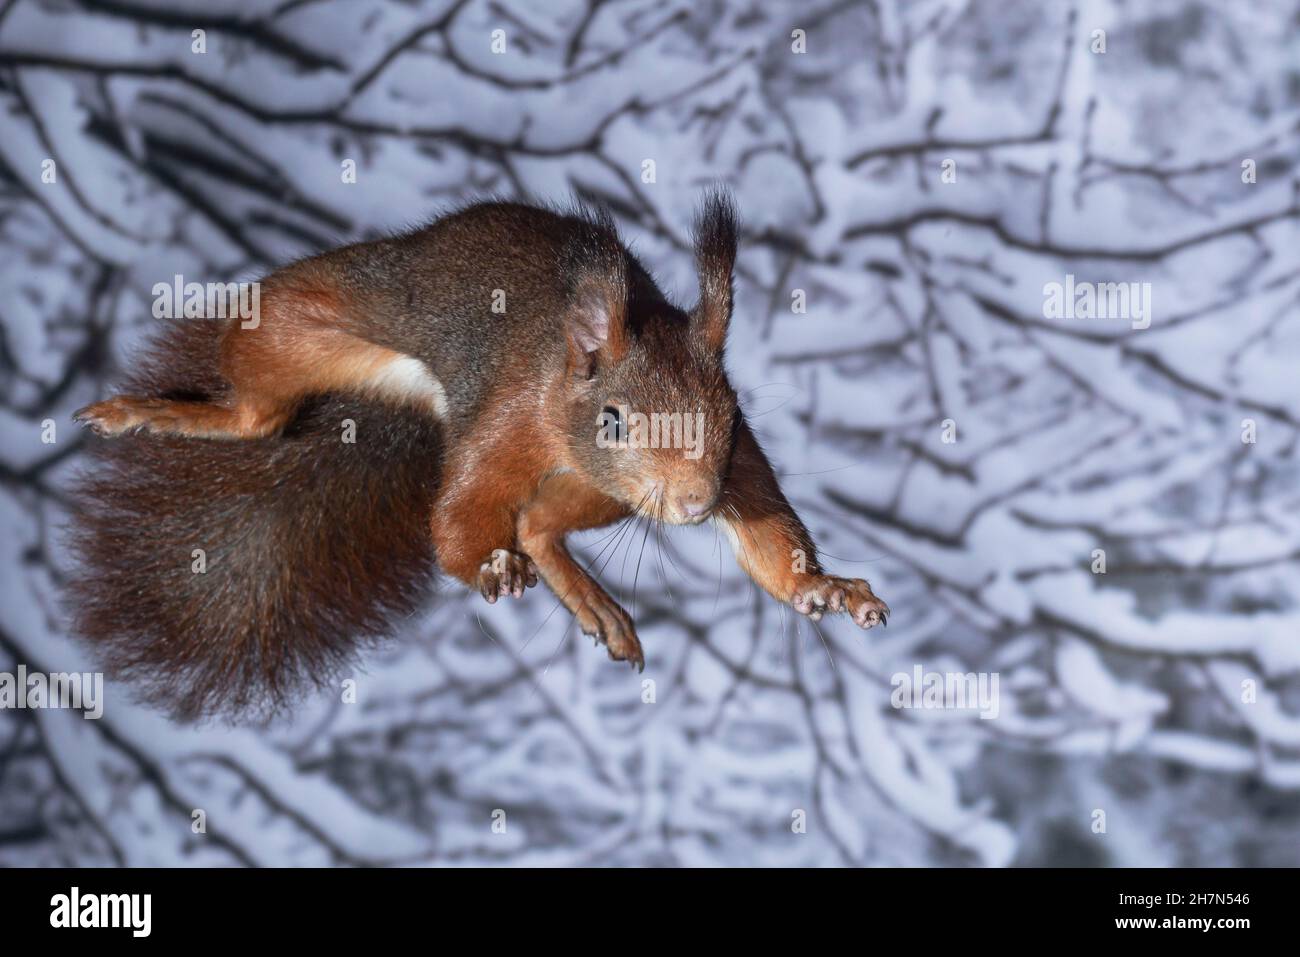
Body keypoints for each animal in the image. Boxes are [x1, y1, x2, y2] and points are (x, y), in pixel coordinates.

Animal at [68, 195, 883, 717]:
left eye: (728, 412)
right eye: (614, 420)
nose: (695, 504)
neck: (562, 386)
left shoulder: (735, 465)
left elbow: (768, 531)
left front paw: (823, 589)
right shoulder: (507, 422)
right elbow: (457, 518)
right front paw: (487, 567)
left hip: (602, 496)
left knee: (539, 526)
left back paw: (589, 598)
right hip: (298, 319)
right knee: (256, 414)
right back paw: (162, 412)